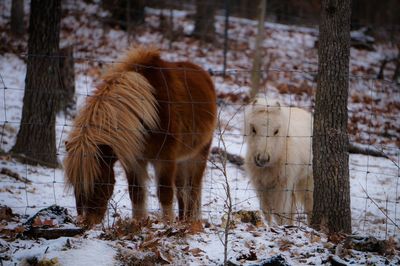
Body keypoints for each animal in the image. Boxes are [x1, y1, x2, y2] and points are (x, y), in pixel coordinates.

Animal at [64, 46, 217, 225]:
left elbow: (165, 194)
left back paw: (190, 222)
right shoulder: (134, 161)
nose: (87, 221)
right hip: (181, 160)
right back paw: (183, 220)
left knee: (193, 189)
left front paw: (168, 224)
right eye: (74, 183)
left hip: (199, 155)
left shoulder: (165, 159)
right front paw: (139, 223)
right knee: (182, 191)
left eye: (98, 181)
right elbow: (136, 193)